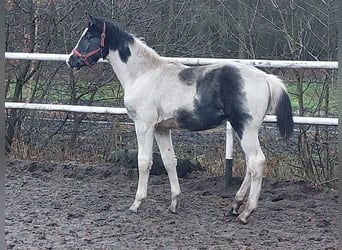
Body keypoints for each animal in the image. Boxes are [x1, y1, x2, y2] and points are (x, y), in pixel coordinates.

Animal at [67, 14, 294, 224]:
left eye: (89, 36)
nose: (71, 60)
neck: (143, 74)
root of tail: (266, 78)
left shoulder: (144, 125)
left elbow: (144, 162)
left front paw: (136, 203)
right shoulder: (161, 128)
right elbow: (169, 161)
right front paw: (174, 203)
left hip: (246, 129)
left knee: (257, 162)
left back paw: (246, 212)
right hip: (245, 130)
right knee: (250, 164)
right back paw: (235, 205)